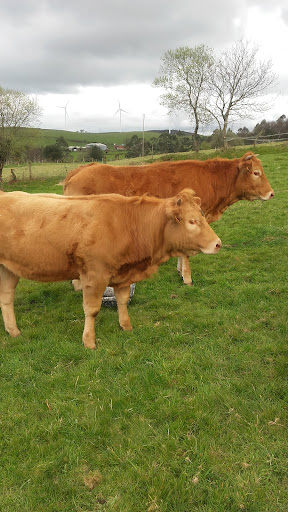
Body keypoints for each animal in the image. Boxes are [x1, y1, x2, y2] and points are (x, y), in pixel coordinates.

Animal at [0, 188, 222, 348]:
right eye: (192, 221)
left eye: (202, 216)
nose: (218, 243)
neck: (127, 223)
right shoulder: (94, 275)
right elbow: (92, 310)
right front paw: (89, 342)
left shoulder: (124, 274)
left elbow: (122, 301)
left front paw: (127, 327)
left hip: (8, 269)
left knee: (6, 298)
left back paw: (14, 331)